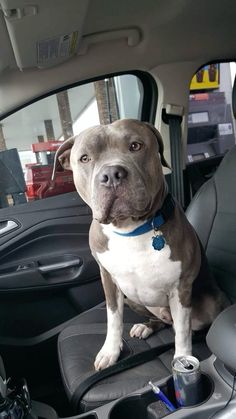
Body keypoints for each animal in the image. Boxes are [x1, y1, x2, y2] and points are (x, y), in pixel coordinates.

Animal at [52, 119, 228, 370]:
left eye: (135, 146)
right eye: (84, 158)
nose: (111, 174)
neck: (129, 230)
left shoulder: (181, 288)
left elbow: (182, 333)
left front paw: (182, 361)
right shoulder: (108, 280)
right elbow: (113, 319)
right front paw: (110, 351)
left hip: (212, 302)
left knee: (184, 325)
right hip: (132, 298)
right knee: (160, 320)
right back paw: (146, 326)